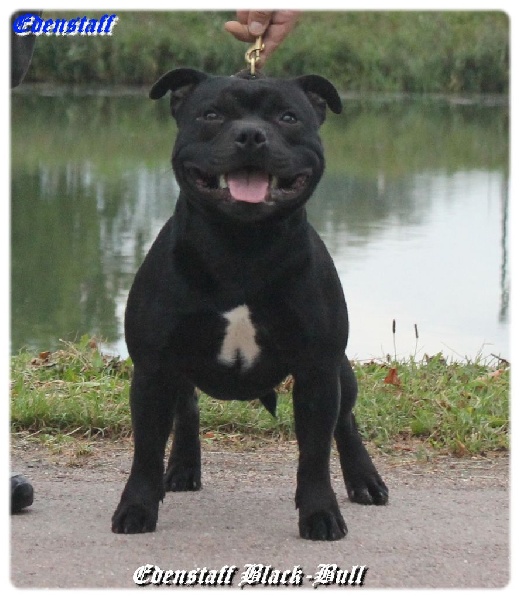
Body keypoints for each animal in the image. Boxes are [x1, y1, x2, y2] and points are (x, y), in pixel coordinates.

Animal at [111, 68, 388, 541]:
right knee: (187, 409)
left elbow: (315, 454)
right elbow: (145, 450)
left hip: (341, 370)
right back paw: (183, 469)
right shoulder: (153, 368)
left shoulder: (317, 370)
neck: (241, 245)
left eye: (288, 117)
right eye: (211, 114)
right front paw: (137, 508)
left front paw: (320, 513)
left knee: (346, 422)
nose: (251, 135)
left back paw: (365, 480)